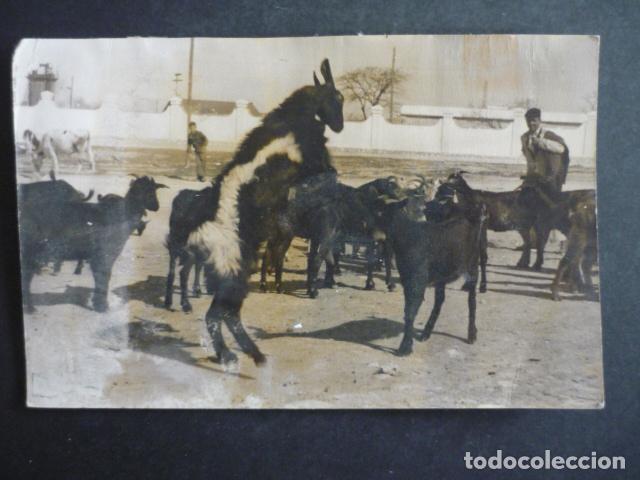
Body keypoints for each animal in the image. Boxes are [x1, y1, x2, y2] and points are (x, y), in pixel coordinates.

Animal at [19, 175, 167, 313]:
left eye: (154, 190)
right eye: (142, 190)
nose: (156, 206)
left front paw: (98, 304)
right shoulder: (104, 254)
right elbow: (103, 276)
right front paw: (102, 306)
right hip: (31, 251)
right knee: (26, 276)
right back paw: (31, 308)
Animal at [186, 59, 344, 365]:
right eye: (339, 97)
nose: (340, 126)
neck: (293, 119)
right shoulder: (317, 163)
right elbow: (330, 173)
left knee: (219, 315)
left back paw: (231, 354)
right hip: (235, 273)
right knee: (222, 314)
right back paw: (248, 355)